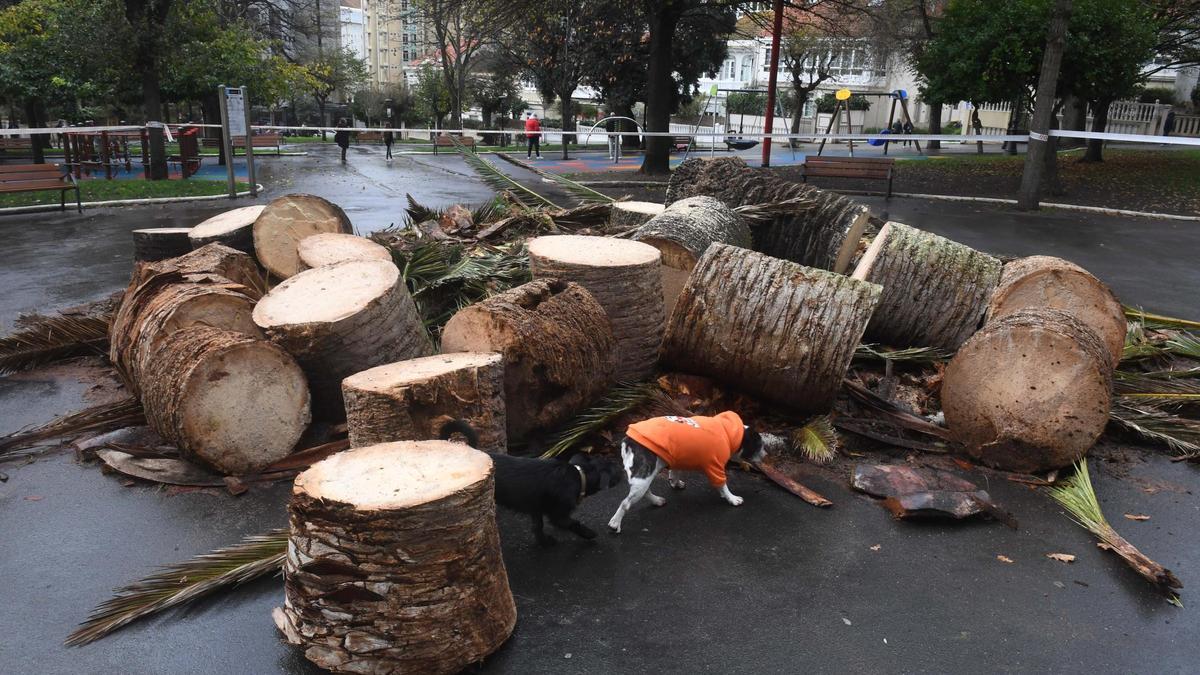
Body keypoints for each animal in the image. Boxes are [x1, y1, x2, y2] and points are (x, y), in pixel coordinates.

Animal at [439, 417, 624, 542]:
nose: (622, 470)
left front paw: (543, 541)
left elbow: (538, 526)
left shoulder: (536, 509)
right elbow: (573, 523)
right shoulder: (559, 515)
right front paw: (588, 534)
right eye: (613, 468)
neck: (579, 475)